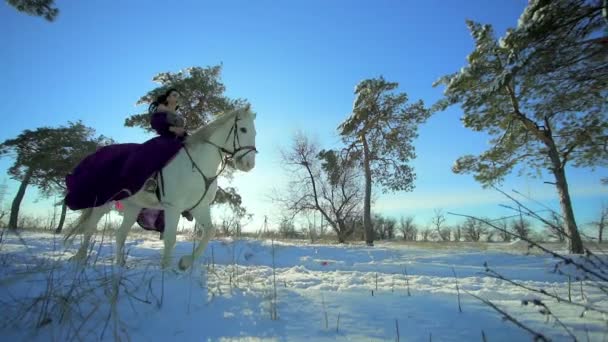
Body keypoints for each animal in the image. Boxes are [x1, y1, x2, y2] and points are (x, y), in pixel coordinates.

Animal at [66, 106, 256, 270]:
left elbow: (210, 232)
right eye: (243, 130)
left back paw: (120, 266)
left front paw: (185, 263)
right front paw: (166, 271)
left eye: (254, 132)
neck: (197, 165)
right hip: (103, 203)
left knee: (120, 234)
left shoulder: (199, 207)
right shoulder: (173, 207)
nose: (248, 165)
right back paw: (80, 260)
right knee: (89, 229)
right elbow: (170, 239)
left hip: (132, 207)